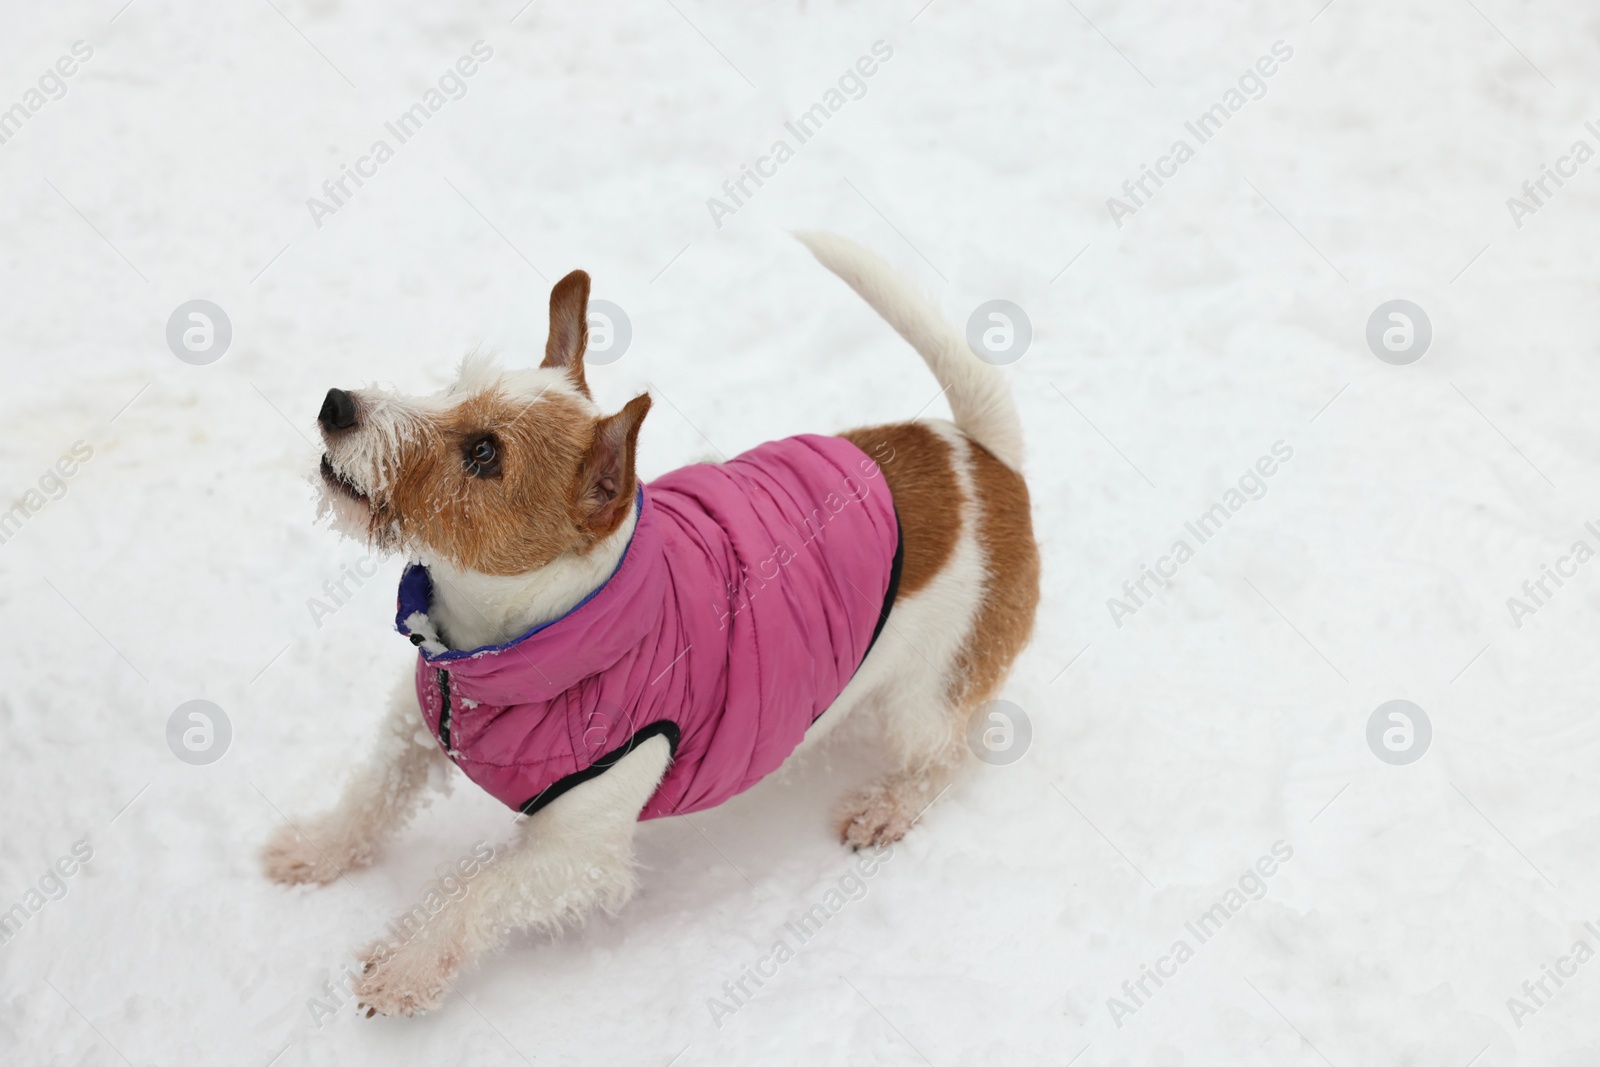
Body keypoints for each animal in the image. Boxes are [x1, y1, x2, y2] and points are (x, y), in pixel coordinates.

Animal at [262, 233, 1036, 1017]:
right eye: (454, 384)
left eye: (483, 453)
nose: (336, 404)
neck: (498, 657)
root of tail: (978, 458)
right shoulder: (414, 725)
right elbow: (372, 795)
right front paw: (317, 849)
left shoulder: (576, 853)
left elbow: (474, 894)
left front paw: (409, 965)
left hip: (925, 697)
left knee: (949, 756)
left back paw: (889, 806)